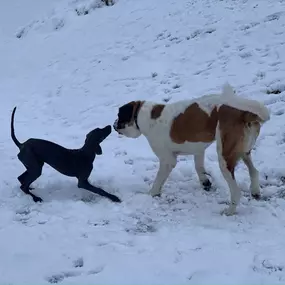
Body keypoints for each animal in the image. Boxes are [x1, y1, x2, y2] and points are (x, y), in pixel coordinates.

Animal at [113, 83, 268, 214]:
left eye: (119, 116)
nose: (114, 124)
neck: (146, 117)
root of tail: (243, 113)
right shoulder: (198, 149)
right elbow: (199, 167)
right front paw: (205, 183)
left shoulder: (167, 161)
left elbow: (158, 180)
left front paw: (151, 194)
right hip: (243, 152)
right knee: (254, 171)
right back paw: (255, 191)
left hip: (225, 157)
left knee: (236, 191)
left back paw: (229, 211)